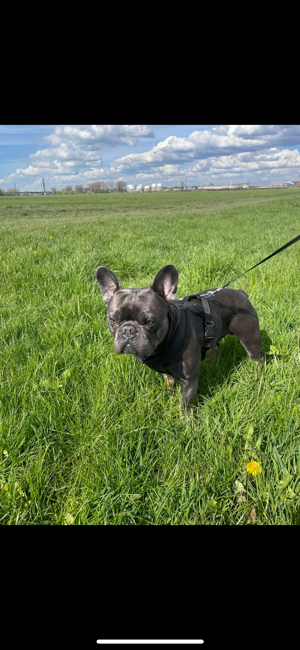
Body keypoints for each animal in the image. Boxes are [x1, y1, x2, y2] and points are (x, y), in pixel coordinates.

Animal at [96, 262, 262, 410]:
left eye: (150, 322)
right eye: (113, 320)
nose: (128, 330)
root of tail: (241, 292)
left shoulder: (189, 381)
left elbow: (184, 405)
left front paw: (186, 422)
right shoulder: (164, 372)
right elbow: (168, 382)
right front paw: (167, 395)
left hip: (249, 336)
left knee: (257, 358)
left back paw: (258, 375)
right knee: (215, 346)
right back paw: (211, 363)